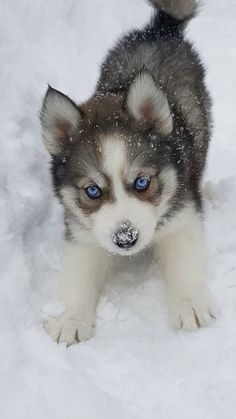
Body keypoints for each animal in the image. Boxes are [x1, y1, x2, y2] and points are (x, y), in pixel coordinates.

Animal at [40, 1, 216, 346]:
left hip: (201, 119)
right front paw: (71, 318)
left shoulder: (183, 214)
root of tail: (158, 30)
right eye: (93, 190)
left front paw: (189, 304)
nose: (125, 239)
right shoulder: (82, 232)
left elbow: (184, 258)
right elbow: (79, 273)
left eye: (142, 182)